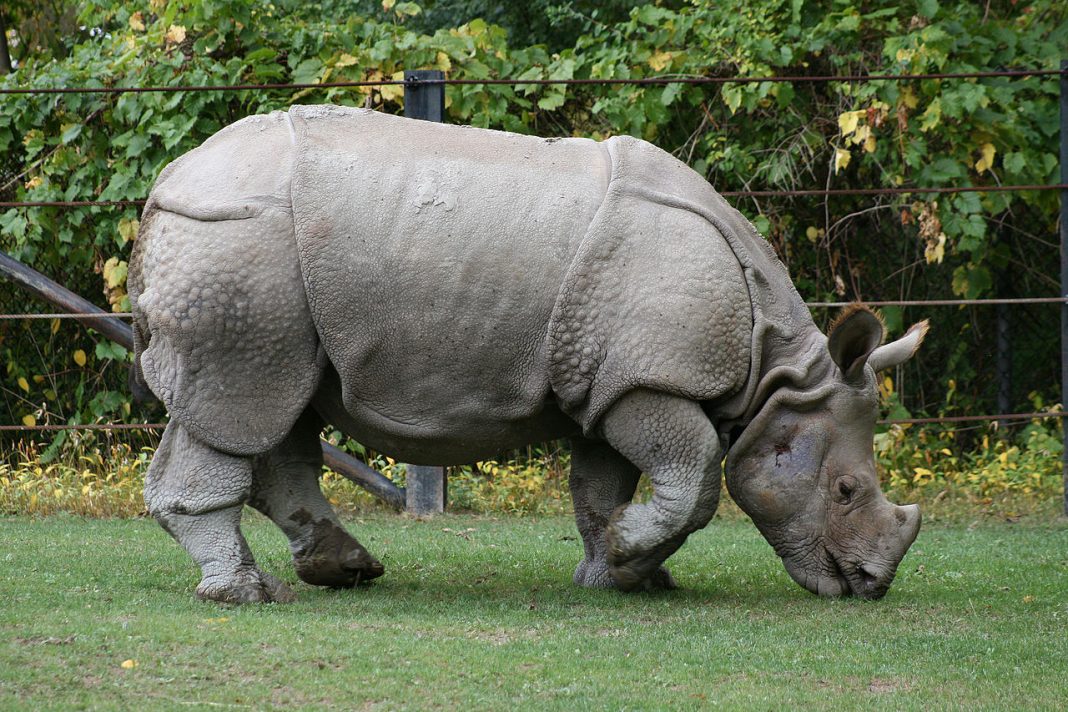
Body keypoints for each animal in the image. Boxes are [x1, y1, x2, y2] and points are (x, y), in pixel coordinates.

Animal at [129, 105, 924, 604]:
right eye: (845, 491)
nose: (869, 585)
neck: (774, 369)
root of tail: (168, 182)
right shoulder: (648, 379)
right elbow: (695, 475)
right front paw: (632, 557)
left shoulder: (609, 380)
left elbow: (602, 486)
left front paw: (620, 571)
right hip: (237, 247)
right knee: (241, 402)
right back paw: (246, 594)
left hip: (254, 265)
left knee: (276, 409)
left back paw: (344, 569)